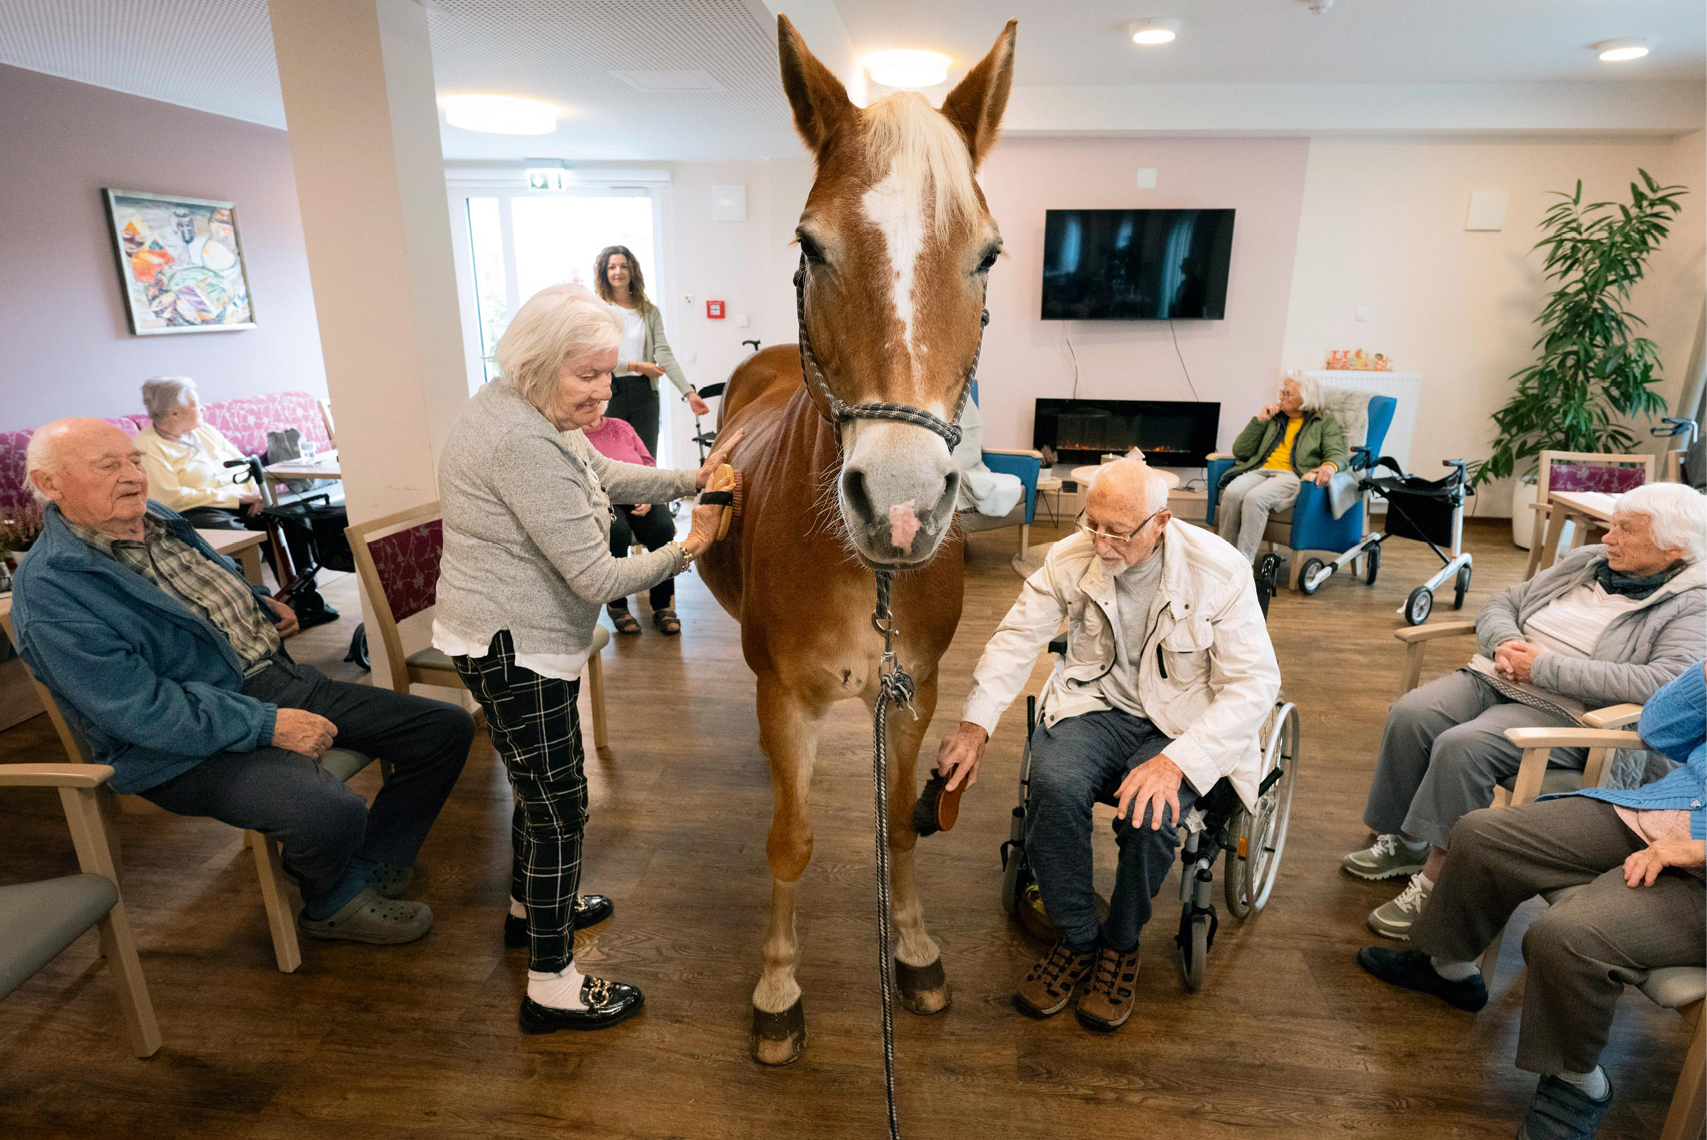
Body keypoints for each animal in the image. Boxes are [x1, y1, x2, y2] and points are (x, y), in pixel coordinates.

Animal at [697, 14, 1017, 1065]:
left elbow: (901, 829)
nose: (904, 506)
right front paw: (777, 988)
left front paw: (912, 950)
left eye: (988, 255)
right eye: (811, 245)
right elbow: (789, 841)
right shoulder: (787, 700)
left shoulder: (912, 691)